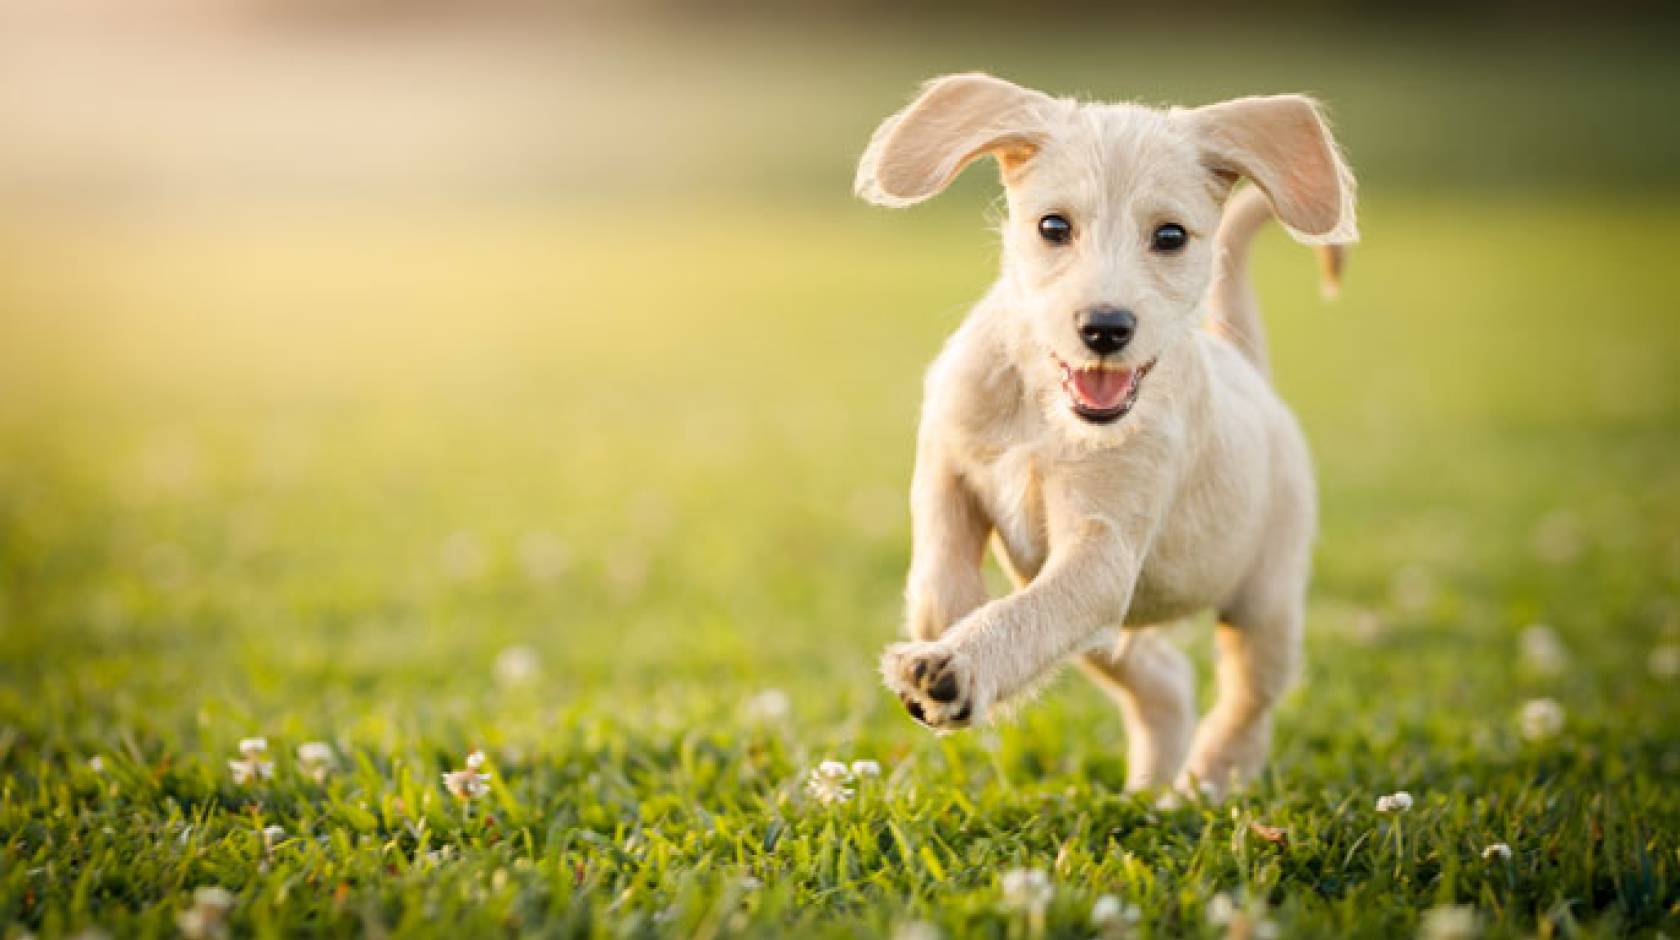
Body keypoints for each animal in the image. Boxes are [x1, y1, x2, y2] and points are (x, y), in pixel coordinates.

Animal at [860, 71, 1357, 799]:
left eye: (1171, 235)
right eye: (1053, 226)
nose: (1105, 327)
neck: (1044, 410)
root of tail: (1248, 369)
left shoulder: (1102, 551)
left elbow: (1026, 613)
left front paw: (957, 663)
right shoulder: (947, 465)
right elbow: (936, 578)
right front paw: (948, 631)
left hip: (1265, 604)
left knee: (1245, 703)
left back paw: (1207, 784)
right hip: (1123, 635)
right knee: (1163, 679)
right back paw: (1153, 792)